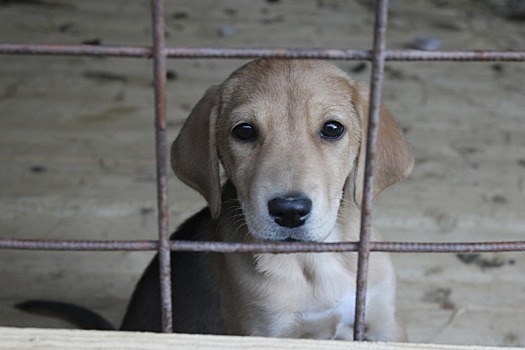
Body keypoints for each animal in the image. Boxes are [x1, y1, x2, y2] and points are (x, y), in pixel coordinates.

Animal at [16, 60, 412, 342]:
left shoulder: (383, 323)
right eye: (244, 131)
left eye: (332, 129)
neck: (311, 264)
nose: (289, 211)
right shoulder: (263, 331)